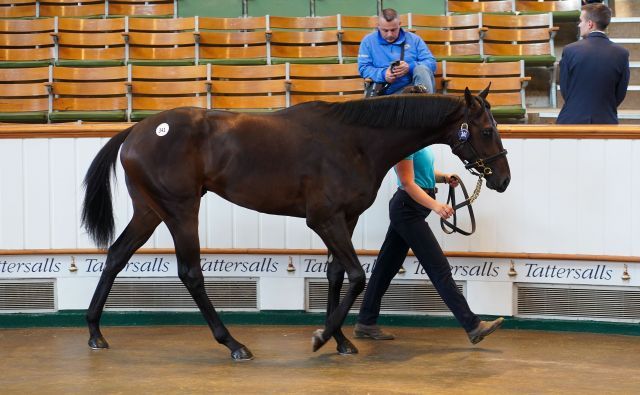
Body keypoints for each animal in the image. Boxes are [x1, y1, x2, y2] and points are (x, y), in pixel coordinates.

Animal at [81, 87, 510, 362]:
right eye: (487, 130)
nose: (503, 180)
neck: (353, 141)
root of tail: (136, 130)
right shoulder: (323, 219)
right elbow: (357, 275)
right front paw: (322, 337)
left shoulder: (344, 219)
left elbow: (337, 274)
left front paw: (340, 340)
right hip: (180, 210)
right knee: (190, 273)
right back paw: (233, 344)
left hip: (149, 211)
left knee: (116, 255)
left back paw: (95, 332)